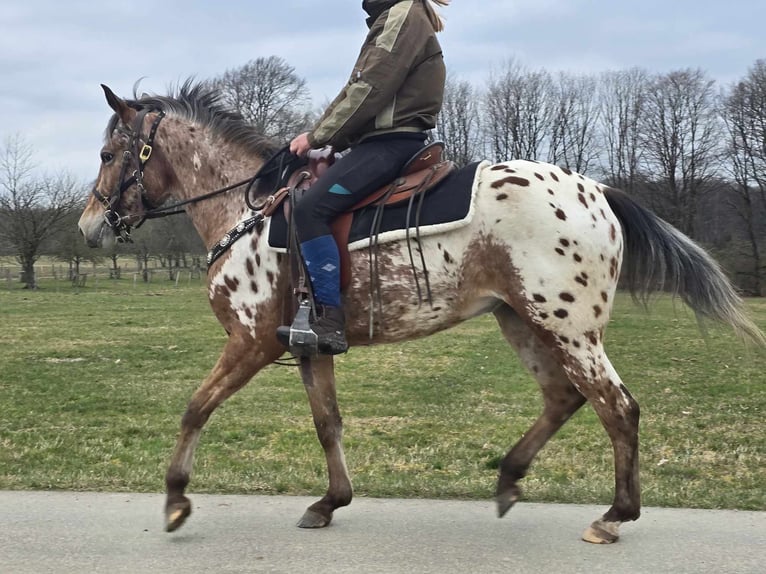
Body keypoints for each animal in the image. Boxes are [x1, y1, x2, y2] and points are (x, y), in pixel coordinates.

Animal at [79, 81, 766, 544]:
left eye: (111, 154)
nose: (90, 225)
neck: (250, 212)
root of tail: (597, 190)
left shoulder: (251, 343)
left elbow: (195, 407)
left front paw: (175, 498)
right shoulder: (306, 347)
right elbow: (328, 424)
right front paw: (330, 502)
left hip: (570, 329)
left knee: (617, 407)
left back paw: (613, 516)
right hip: (521, 321)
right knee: (564, 399)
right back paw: (509, 478)